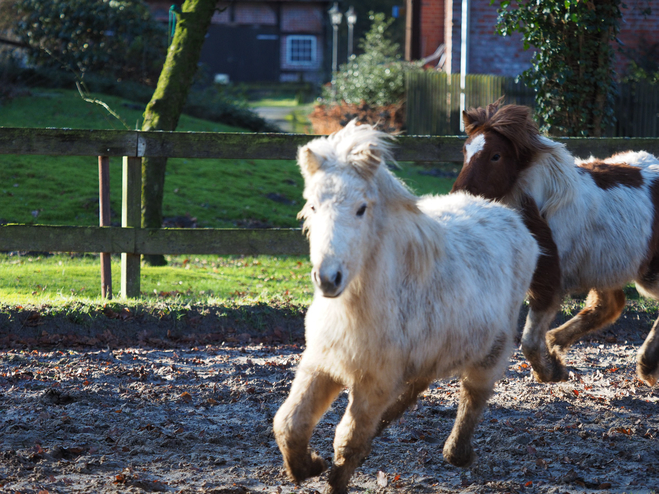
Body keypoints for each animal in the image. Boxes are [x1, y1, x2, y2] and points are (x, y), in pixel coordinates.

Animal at [274, 120, 540, 494]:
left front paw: (330, 476)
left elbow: (348, 440)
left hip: (492, 348)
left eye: (362, 208)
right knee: (417, 386)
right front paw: (306, 467)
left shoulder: (374, 380)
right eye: (312, 206)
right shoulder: (321, 363)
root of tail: (508, 216)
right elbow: (289, 423)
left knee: (474, 393)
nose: (328, 278)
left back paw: (457, 453)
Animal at [452, 100, 659, 386]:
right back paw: (557, 342)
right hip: (606, 267)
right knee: (609, 305)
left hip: (646, 272)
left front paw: (549, 371)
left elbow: (528, 341)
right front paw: (555, 365)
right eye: (465, 150)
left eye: (496, 156)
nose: (457, 196)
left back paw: (646, 366)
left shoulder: (548, 282)